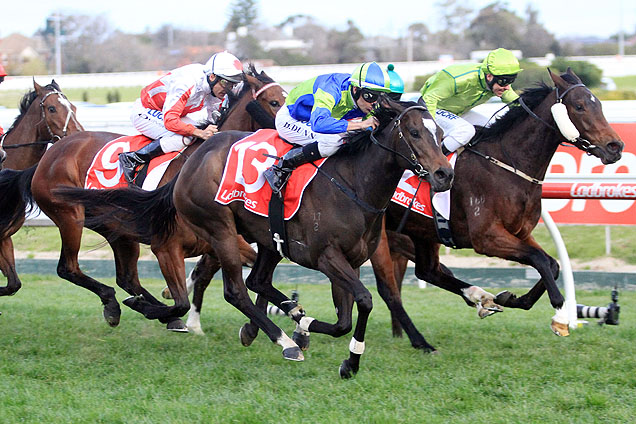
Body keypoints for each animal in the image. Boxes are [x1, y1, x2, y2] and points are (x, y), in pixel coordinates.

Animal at [368, 67, 620, 344]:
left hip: (422, 231)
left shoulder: (521, 232)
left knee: (428, 271)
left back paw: (478, 298)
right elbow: (539, 260)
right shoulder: (487, 237)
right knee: (390, 288)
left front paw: (511, 299)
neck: (508, 165)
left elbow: (552, 264)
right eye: (579, 106)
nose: (615, 146)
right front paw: (561, 316)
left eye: (598, 105)